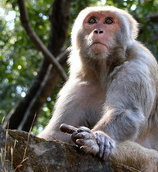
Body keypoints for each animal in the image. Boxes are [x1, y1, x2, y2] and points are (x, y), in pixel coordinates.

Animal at [38, 6, 158, 170]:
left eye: (108, 21)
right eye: (92, 21)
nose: (98, 31)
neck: (104, 71)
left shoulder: (137, 66)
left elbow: (127, 112)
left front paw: (98, 139)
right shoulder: (80, 85)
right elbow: (56, 134)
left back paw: (94, 143)